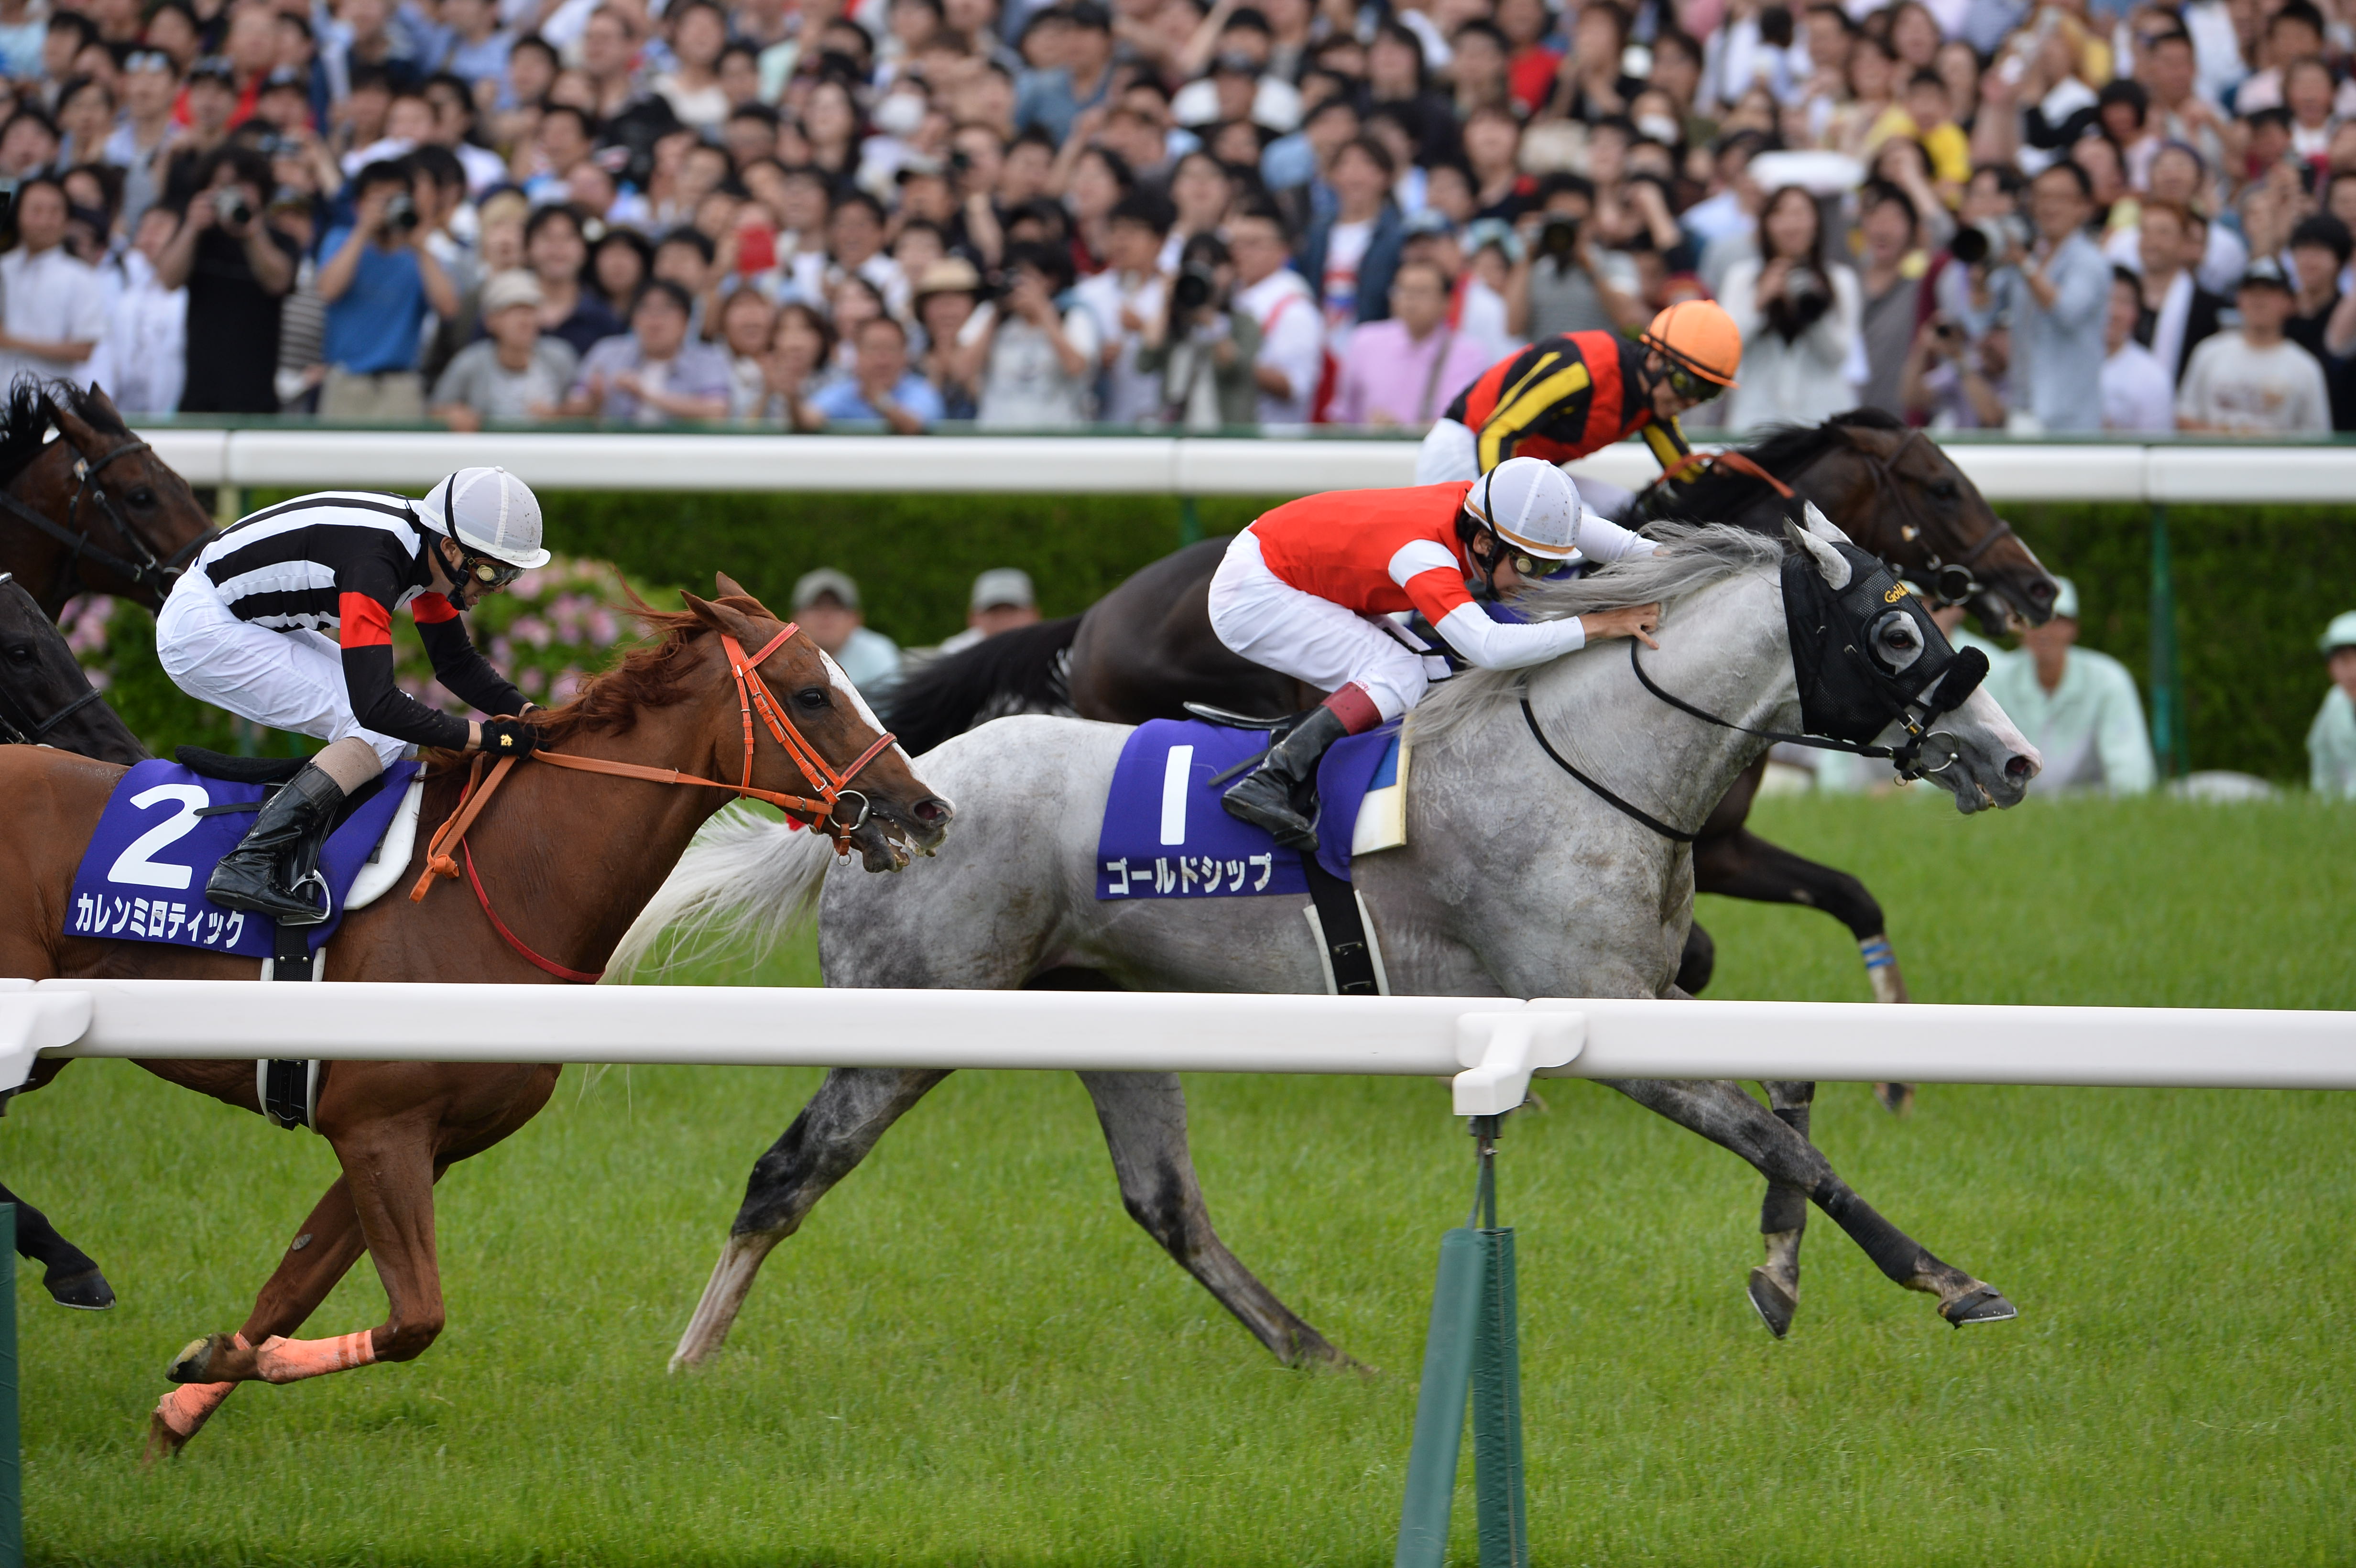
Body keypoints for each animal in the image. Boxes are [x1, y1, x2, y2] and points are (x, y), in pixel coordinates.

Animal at [4, 584, 956, 1450]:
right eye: (812, 694)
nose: (927, 808)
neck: (503, 882)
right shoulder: (380, 1126)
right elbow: (415, 1318)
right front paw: (217, 1375)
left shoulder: (421, 1142)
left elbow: (289, 1292)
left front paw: (186, 1400)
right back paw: (70, 1266)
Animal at [626, 511, 2045, 1356]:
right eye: (1900, 628)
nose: (2016, 759)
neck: (1591, 756)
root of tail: (892, 801)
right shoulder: (1594, 1011)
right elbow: (1779, 1137)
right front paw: (1946, 1279)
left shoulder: (1642, 990)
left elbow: (1793, 1093)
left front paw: (1780, 1275)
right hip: (908, 1024)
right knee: (785, 1176)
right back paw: (691, 1361)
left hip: (1103, 1013)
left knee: (1165, 1203)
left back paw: (1323, 1358)